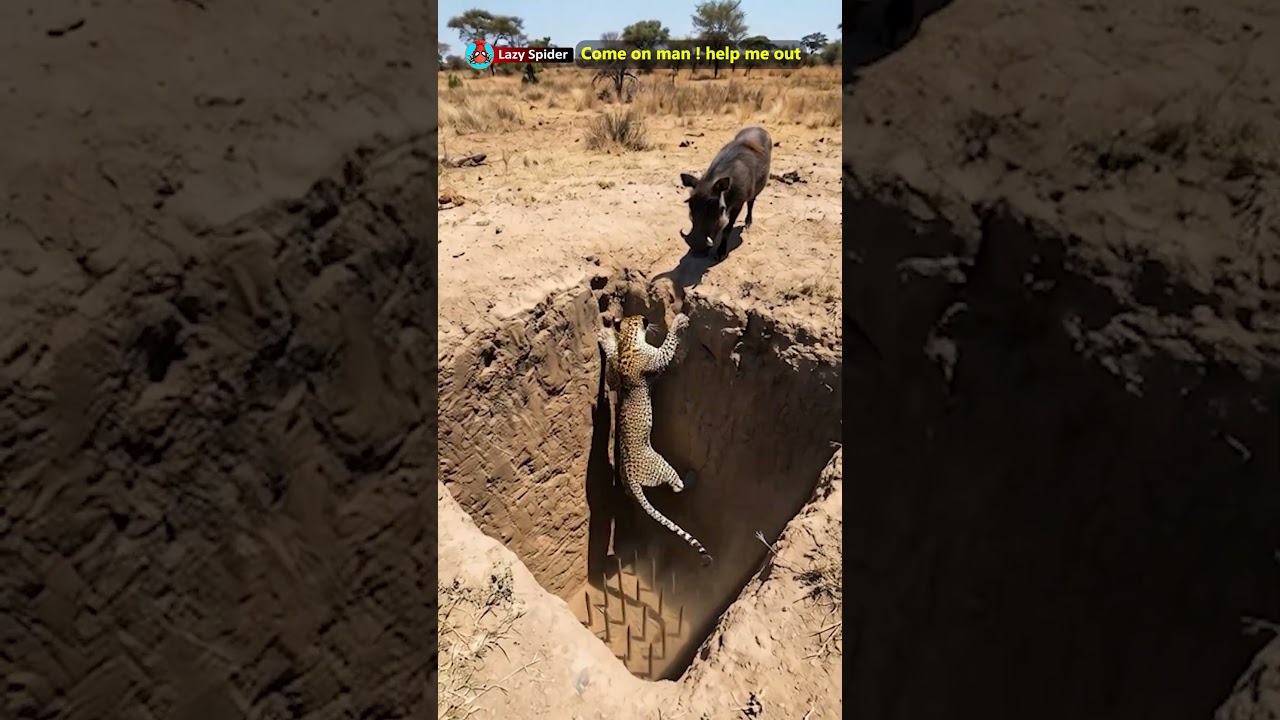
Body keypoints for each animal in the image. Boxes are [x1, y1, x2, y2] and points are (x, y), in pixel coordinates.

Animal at [597, 311, 713, 566]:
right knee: (677, 486)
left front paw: (605, 337)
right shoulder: (656, 359)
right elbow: (667, 346)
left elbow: (611, 366)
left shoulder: (615, 375)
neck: (630, 341)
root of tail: (631, 478)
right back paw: (690, 477)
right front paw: (678, 322)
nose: (645, 317)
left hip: (628, 484)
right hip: (662, 465)